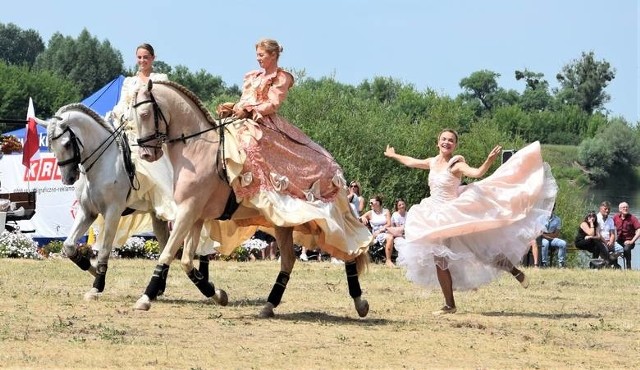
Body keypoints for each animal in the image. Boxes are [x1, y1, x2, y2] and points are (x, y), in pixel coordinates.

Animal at [38, 104, 221, 304]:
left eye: (66, 144)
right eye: (50, 146)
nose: (68, 178)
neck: (103, 163)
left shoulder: (113, 212)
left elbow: (104, 250)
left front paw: (97, 285)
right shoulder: (87, 212)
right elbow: (69, 246)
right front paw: (93, 271)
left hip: (188, 209)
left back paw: (206, 282)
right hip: (159, 215)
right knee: (166, 244)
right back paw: (161, 288)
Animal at [131, 81, 370, 318]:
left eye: (145, 114)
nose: (146, 155)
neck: (197, 148)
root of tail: (334, 164)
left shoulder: (188, 212)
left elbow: (167, 254)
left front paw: (145, 298)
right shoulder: (195, 216)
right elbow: (187, 262)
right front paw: (218, 294)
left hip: (325, 218)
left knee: (350, 249)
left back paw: (360, 303)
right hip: (285, 224)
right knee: (289, 260)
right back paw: (269, 305)